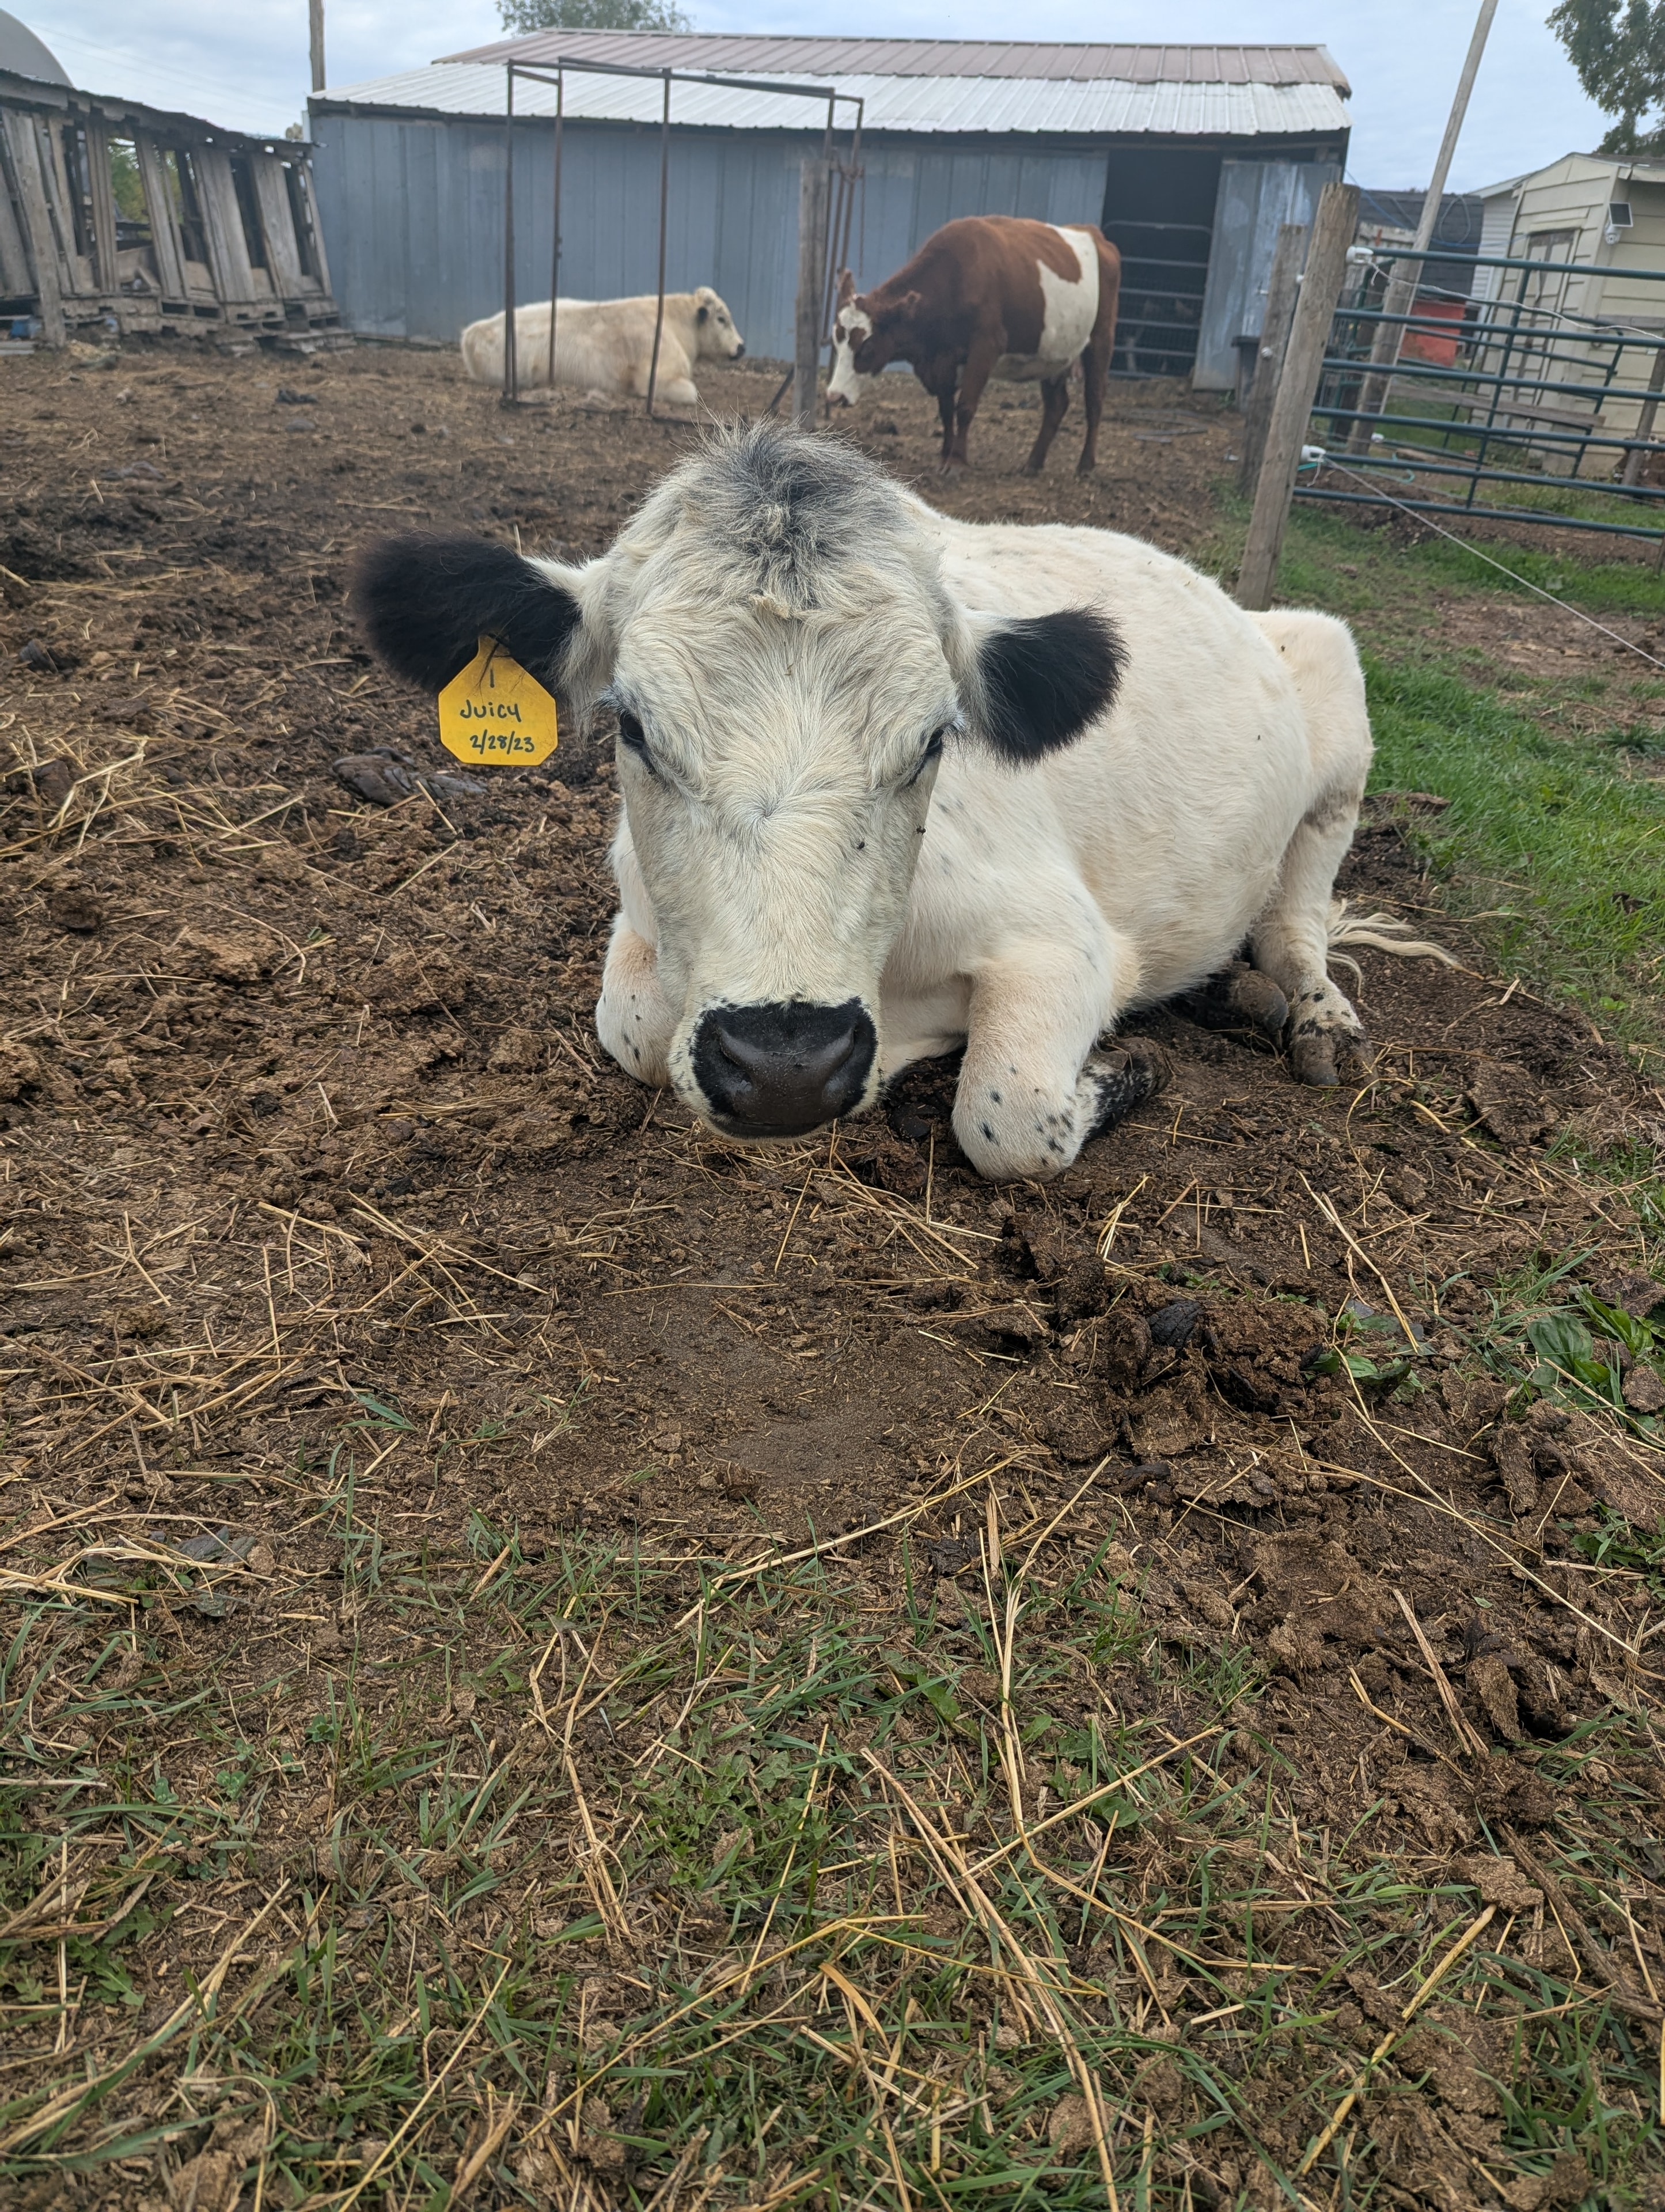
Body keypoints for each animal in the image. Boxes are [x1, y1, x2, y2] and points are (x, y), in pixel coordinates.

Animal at [352, 424, 1421, 1185]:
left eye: (934, 740)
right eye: (635, 729)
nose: (785, 1068)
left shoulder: (1067, 944)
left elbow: (1008, 1117)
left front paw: (1130, 1068)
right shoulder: (639, 909)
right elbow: (634, 1028)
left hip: (1336, 700)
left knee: (1295, 922)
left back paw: (1316, 1017)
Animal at [827, 217, 1120, 475]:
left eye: (866, 348)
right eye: (837, 343)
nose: (834, 396)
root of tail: (1094, 235)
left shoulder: (985, 347)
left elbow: (965, 407)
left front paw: (957, 462)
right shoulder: (942, 362)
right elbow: (946, 411)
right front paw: (945, 456)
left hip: (1101, 339)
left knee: (1095, 399)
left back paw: (1085, 464)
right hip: (1054, 356)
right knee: (1056, 405)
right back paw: (1033, 463)